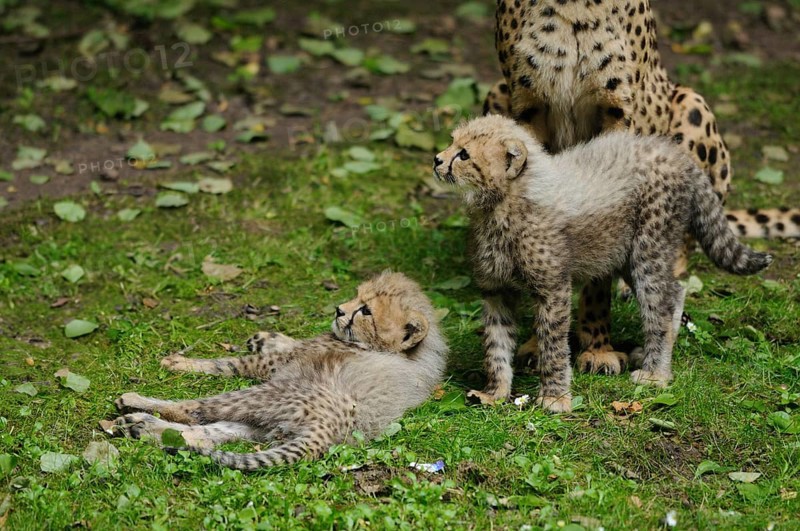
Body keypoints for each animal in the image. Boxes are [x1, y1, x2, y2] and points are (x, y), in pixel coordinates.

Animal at [110, 272, 447, 470]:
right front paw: (266, 337)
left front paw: (180, 362)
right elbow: (288, 343)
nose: (339, 310)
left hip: (270, 393)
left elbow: (228, 363)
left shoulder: (277, 366)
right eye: (356, 296)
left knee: (192, 411)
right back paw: (138, 426)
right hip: (267, 423)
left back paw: (136, 406)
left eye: (366, 311)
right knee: (206, 434)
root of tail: (331, 431)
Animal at [433, 115, 772, 412]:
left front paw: (555, 398)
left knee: (659, 305)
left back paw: (656, 373)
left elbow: (553, 346)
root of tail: (672, 151)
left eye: (464, 154)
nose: (437, 159)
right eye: (452, 142)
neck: (503, 202)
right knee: (675, 292)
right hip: (622, 254)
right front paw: (495, 393)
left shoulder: (553, 289)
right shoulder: (497, 291)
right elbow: (496, 345)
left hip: (648, 250)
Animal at [483, 0, 799, 376]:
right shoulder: (526, 106)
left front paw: (598, 347)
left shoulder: (618, 113)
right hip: (496, 92)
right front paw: (537, 344)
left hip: (691, 104)